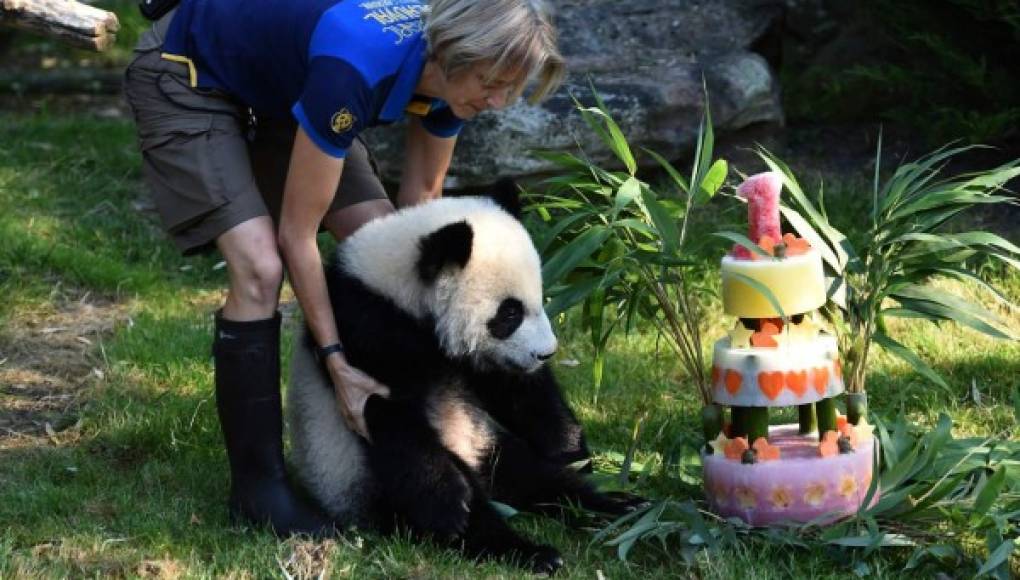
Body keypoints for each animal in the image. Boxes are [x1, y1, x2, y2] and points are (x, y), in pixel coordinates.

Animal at [287, 183, 632, 570]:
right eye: (509, 313)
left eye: (539, 300)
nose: (546, 353)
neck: (398, 291)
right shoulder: (363, 331)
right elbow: (389, 415)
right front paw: (449, 505)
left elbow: (521, 393)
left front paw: (574, 452)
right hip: (362, 479)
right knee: (476, 509)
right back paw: (524, 548)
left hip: (489, 443)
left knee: (540, 478)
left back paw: (617, 508)